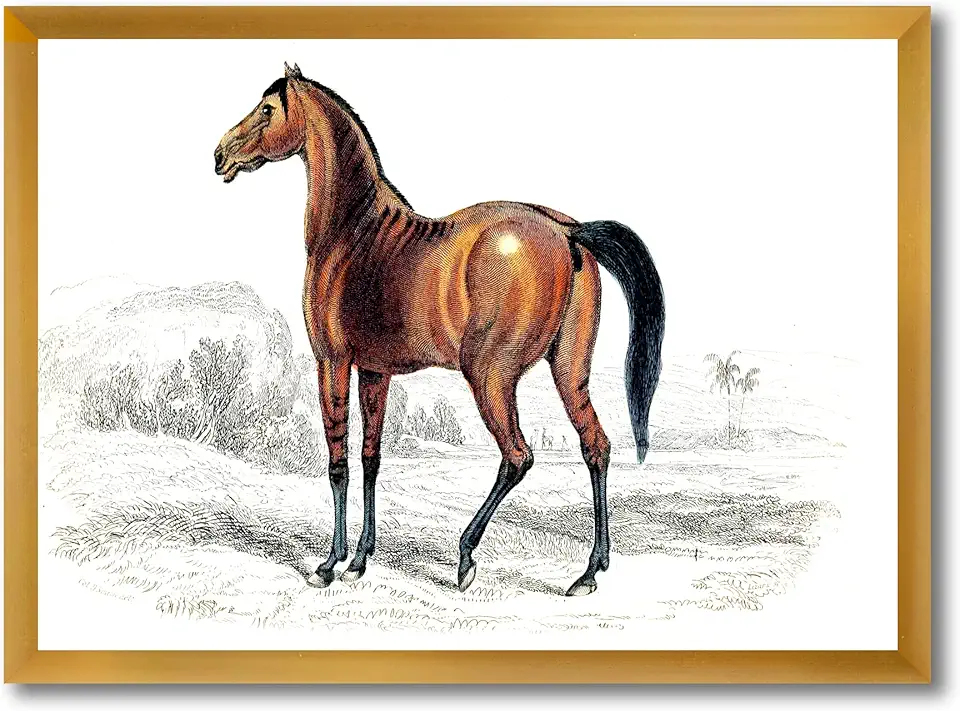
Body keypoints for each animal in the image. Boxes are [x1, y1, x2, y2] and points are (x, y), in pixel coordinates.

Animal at [214, 62, 665, 597]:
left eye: (267, 109)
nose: (219, 155)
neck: (353, 232)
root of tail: (567, 230)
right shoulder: (375, 372)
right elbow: (370, 458)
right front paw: (361, 558)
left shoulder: (332, 363)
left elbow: (338, 462)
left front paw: (330, 563)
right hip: (569, 371)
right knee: (595, 446)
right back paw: (589, 572)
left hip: (490, 377)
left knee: (517, 456)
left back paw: (467, 556)